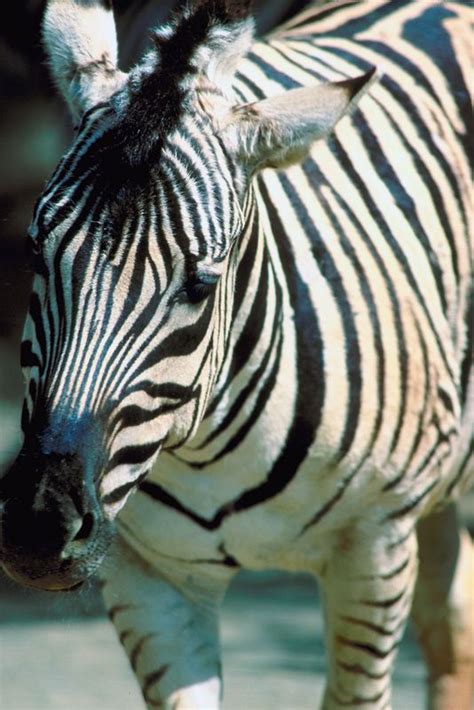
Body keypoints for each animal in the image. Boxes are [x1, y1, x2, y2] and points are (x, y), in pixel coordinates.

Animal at [0, 0, 472, 707]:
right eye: (35, 253)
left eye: (201, 285)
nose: (37, 528)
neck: (212, 448)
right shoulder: (149, 578)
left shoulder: (375, 549)